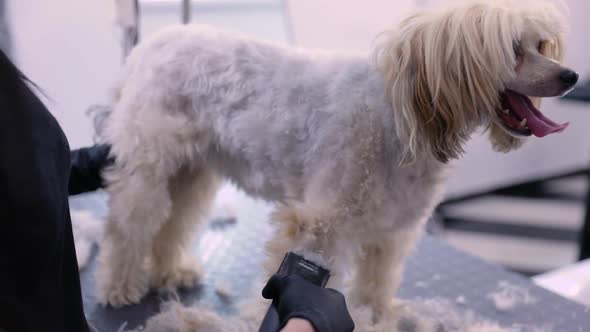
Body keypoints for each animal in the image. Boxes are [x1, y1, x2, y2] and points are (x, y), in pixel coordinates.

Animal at [97, 0, 580, 326]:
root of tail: (152, 44)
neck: (402, 118)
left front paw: (376, 316)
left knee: (173, 220)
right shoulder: (320, 224)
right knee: (130, 224)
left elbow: (377, 281)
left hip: (191, 172)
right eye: (514, 49)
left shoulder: (392, 229)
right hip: (149, 165)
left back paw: (167, 272)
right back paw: (120, 285)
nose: (570, 75)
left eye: (541, 45)